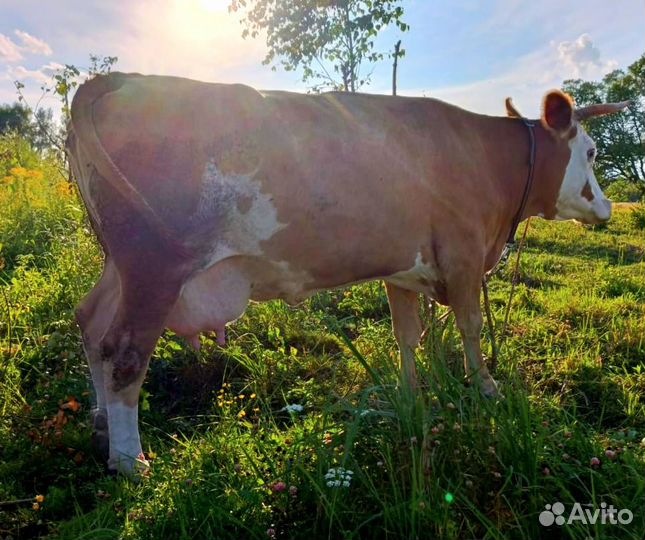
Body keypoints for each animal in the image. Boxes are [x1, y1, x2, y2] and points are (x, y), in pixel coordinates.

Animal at [66, 71, 628, 472]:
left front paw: (411, 395)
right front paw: (487, 390)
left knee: (90, 324)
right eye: (593, 151)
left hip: (119, 264)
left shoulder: (404, 269)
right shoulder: (466, 257)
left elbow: (408, 335)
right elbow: (469, 328)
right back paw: (130, 461)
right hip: (153, 266)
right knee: (124, 353)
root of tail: (117, 79)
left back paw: (100, 423)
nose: (608, 207)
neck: (487, 158)